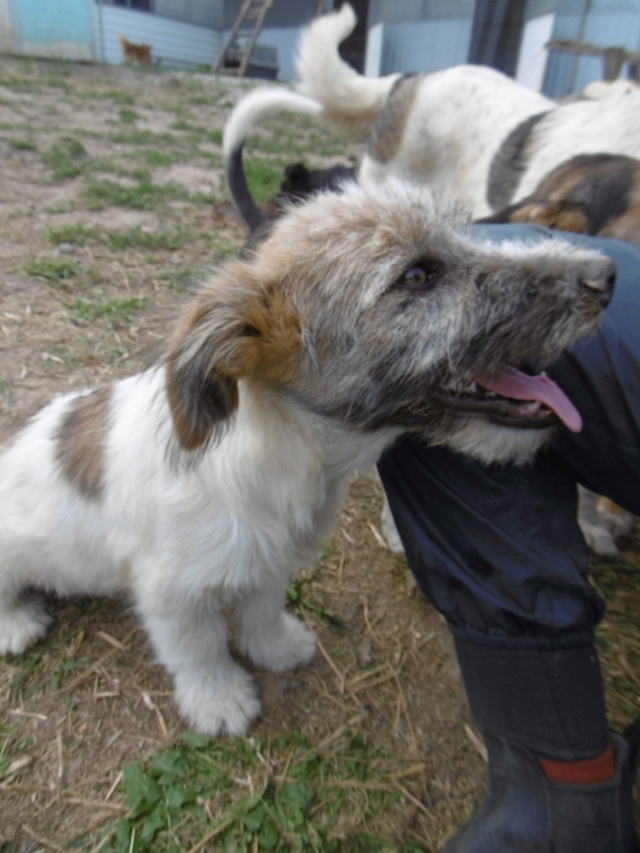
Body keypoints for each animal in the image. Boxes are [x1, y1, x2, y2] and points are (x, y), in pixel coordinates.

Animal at [0, 181, 612, 740]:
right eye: (417, 276)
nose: (607, 276)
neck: (291, 455)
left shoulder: (268, 563)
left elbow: (261, 610)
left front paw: (275, 647)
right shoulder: (174, 595)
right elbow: (200, 651)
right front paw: (219, 700)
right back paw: (16, 624)